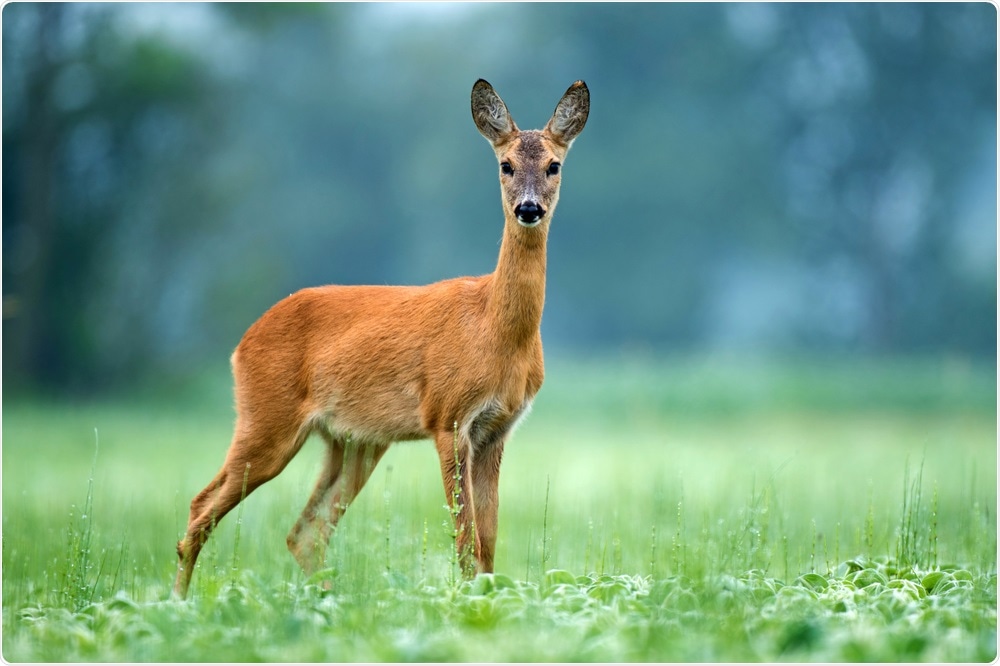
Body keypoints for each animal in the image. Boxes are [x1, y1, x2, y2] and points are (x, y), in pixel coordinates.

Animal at [173, 79, 589, 599]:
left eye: (554, 165)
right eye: (505, 165)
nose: (528, 208)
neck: (495, 330)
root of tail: (242, 343)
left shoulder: (497, 429)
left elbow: (489, 541)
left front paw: (487, 600)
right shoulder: (447, 416)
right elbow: (465, 538)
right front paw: (465, 602)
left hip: (353, 441)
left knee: (304, 531)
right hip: (266, 419)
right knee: (201, 508)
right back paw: (177, 603)